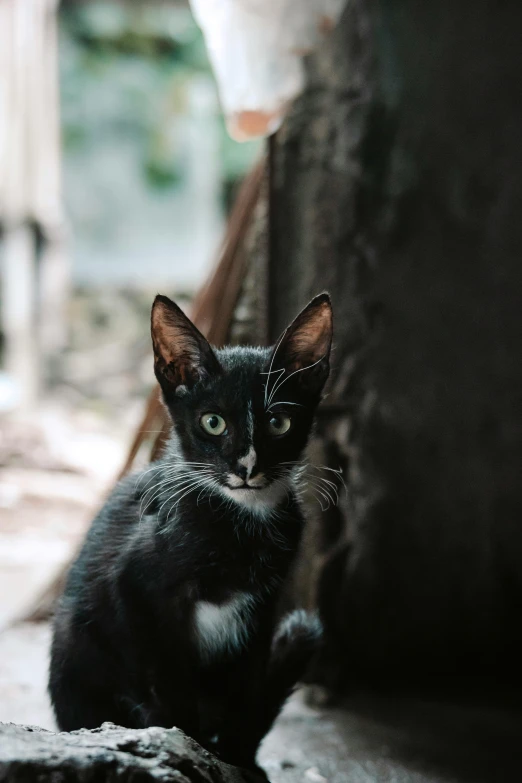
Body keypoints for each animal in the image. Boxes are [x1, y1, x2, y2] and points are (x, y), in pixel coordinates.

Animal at [49, 292, 334, 772]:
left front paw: (237, 758)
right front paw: (185, 744)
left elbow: (247, 690)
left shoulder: (263, 607)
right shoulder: (135, 586)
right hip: (73, 638)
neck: (240, 523)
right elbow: (166, 679)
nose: (247, 466)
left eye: (278, 423)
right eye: (213, 422)